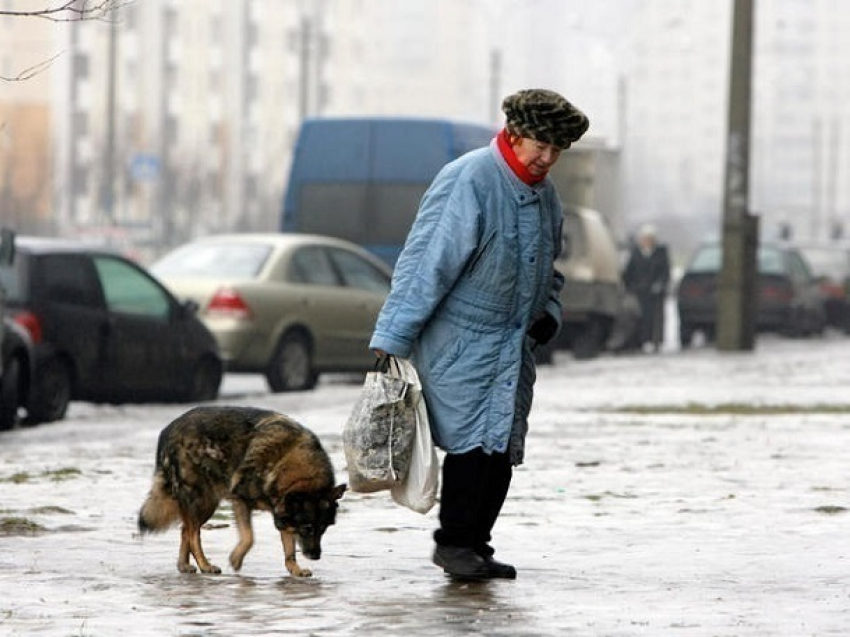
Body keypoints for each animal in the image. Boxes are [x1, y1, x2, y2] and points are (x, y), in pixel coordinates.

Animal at [139, 408, 344, 576]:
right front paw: (236, 559)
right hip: (200, 500)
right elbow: (249, 537)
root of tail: (167, 430)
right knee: (193, 534)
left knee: (185, 530)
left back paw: (184, 565)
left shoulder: (282, 513)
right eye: (307, 528)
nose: (316, 556)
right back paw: (205, 565)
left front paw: (294, 568)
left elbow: (289, 549)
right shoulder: (240, 500)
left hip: (208, 503)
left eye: (323, 528)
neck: (285, 461)